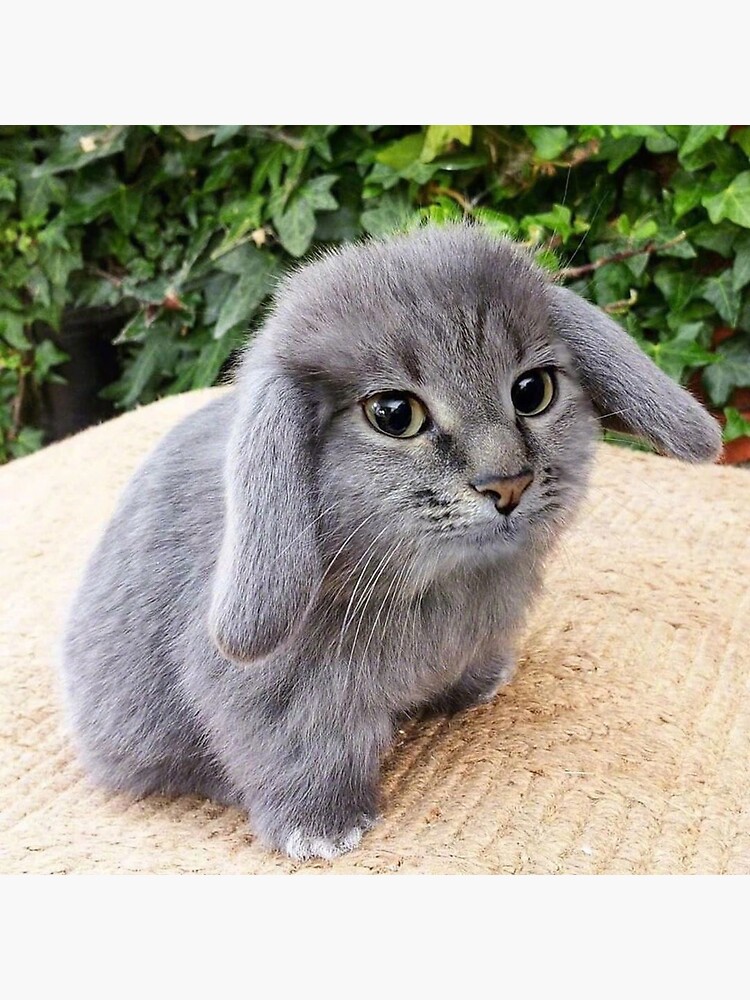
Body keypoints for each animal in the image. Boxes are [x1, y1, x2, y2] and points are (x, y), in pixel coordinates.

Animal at [60, 223, 722, 861]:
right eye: (394, 415)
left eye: (533, 391)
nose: (508, 483)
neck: (443, 580)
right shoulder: (282, 707)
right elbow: (297, 757)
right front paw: (322, 834)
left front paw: (483, 686)